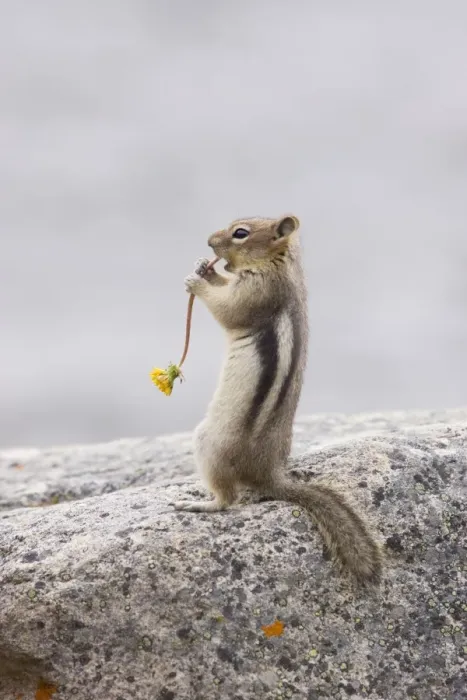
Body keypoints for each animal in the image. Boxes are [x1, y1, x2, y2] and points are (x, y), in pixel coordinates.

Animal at [173, 215, 382, 584]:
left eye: (240, 233)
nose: (209, 242)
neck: (279, 264)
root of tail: (268, 473)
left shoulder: (258, 293)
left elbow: (228, 309)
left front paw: (197, 283)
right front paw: (205, 269)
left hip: (208, 443)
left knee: (228, 499)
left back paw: (200, 502)